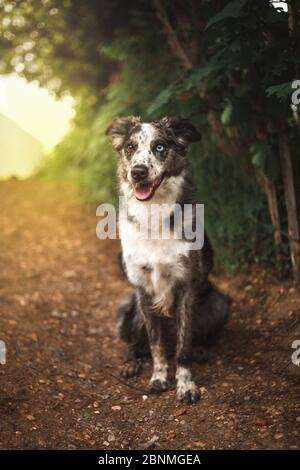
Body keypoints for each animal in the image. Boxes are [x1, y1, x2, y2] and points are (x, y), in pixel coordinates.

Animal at [106, 116, 231, 404]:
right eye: (130, 147)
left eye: (160, 146)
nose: (138, 172)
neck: (154, 214)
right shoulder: (143, 290)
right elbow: (156, 345)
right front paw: (159, 378)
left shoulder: (186, 287)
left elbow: (183, 347)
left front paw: (185, 386)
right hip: (136, 312)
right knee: (136, 345)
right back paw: (130, 363)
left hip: (220, 302)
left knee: (193, 340)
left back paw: (201, 350)